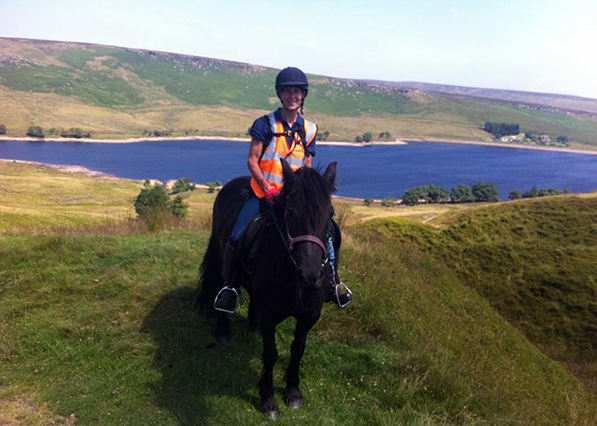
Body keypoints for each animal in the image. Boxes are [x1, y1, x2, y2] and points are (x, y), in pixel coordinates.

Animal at [196, 161, 336, 420]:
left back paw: (252, 325)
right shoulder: (270, 315)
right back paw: (223, 330)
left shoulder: (310, 315)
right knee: (224, 287)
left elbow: (297, 349)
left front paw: (293, 392)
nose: (310, 276)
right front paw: (268, 399)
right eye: (289, 213)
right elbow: (270, 353)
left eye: (329, 214)